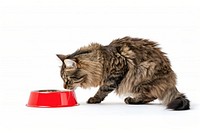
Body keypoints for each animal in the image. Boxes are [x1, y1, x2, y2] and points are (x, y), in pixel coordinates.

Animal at [57, 36, 190, 110]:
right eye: (63, 80)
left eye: (67, 79)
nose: (64, 86)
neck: (102, 60)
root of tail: (171, 80)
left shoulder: (117, 70)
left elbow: (103, 89)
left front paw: (95, 99)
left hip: (142, 72)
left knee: (151, 94)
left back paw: (131, 100)